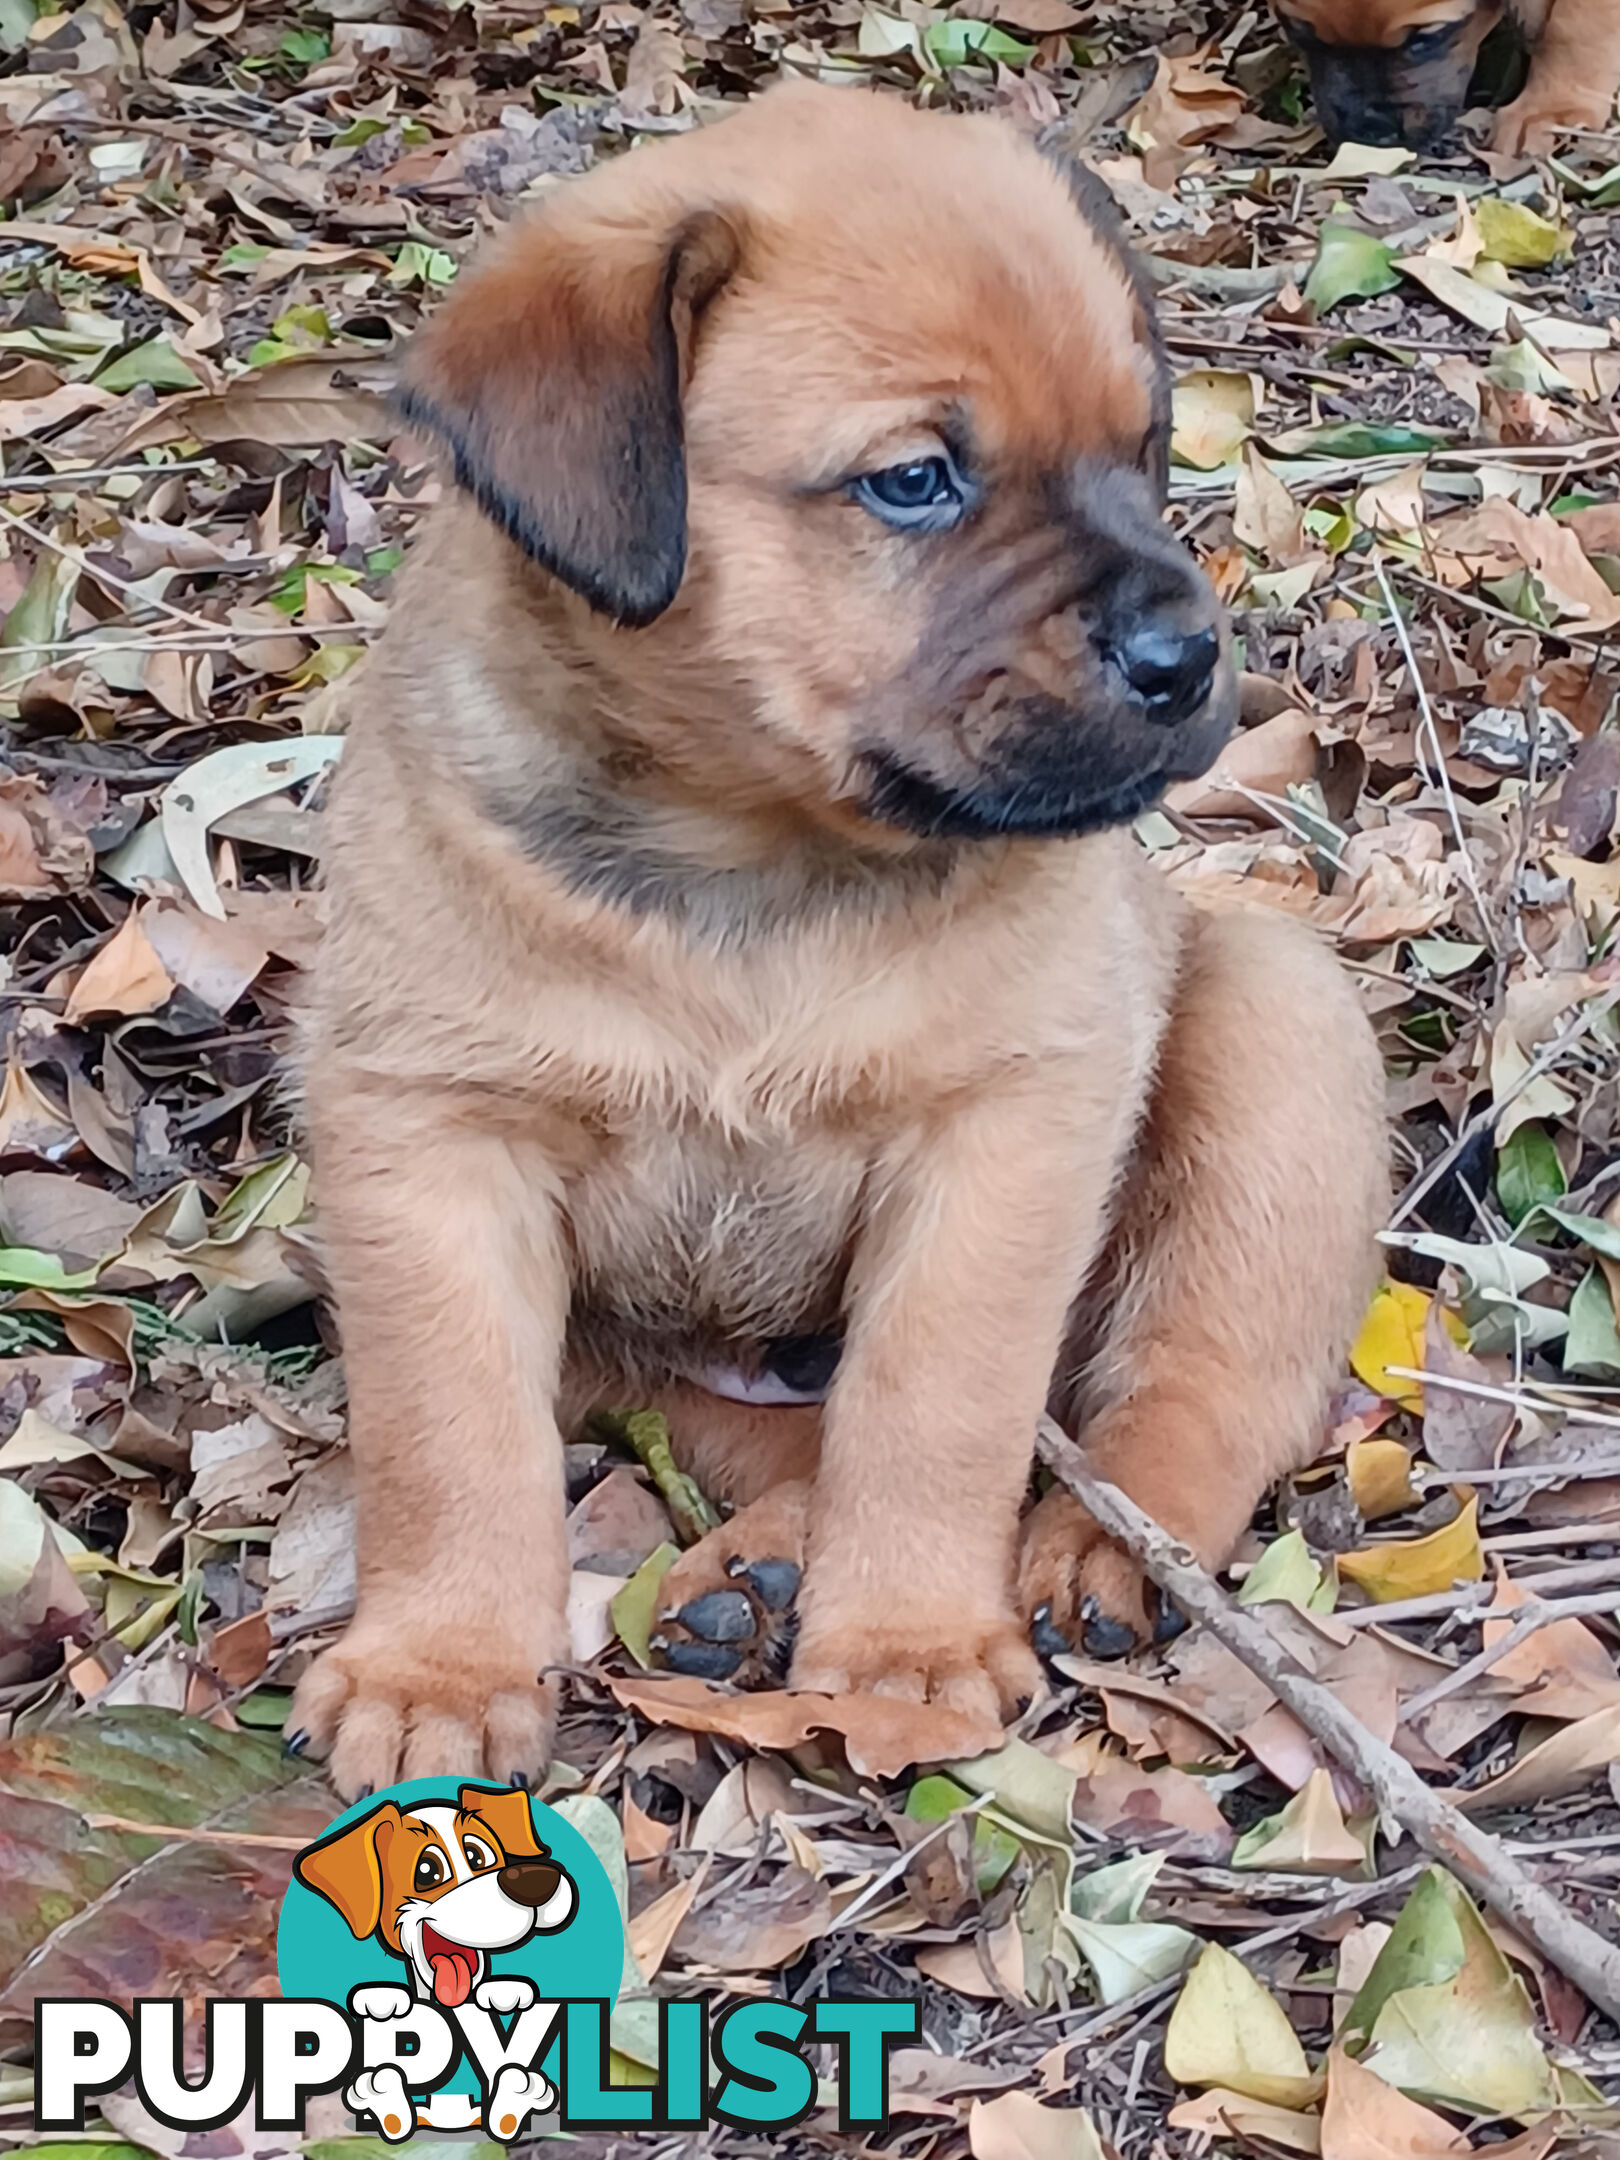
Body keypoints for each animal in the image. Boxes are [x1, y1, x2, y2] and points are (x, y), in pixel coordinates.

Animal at [289, 84, 1382, 1797]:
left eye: (1144, 448)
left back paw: (1099, 1554)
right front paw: (438, 1665)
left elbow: (932, 1408)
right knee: (777, 1433)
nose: (1191, 654)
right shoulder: (428, 1140)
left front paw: (908, 1649)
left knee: (1194, 1393)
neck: (753, 864)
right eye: (915, 482)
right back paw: (751, 1576)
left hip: (1278, 1024)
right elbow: (448, 1436)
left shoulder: (1002, 1131)